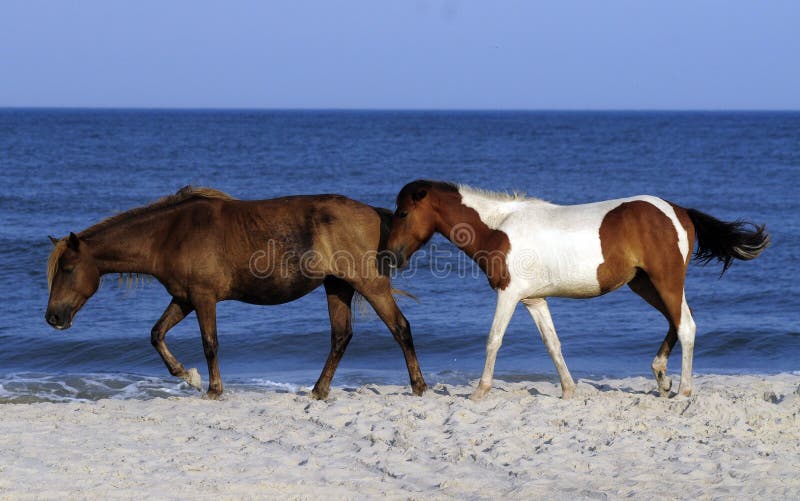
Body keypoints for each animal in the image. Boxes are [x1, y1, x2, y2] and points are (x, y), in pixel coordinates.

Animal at [45, 186, 428, 400]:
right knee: (341, 337)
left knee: (400, 328)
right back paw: (318, 391)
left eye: (67, 269)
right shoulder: (184, 298)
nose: (53, 317)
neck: (170, 234)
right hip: (337, 286)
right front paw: (187, 375)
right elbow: (156, 334)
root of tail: (374, 213)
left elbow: (210, 344)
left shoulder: (203, 298)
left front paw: (212, 389)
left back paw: (418, 386)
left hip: (368, 284)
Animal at [386, 180, 769, 401]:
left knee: (686, 326)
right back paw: (662, 379)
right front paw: (569, 391)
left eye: (403, 213)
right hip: (645, 284)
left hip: (666, 280)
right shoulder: (533, 300)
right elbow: (552, 343)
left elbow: (493, 340)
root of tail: (679, 211)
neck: (498, 228)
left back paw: (685, 389)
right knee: (677, 322)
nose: (391, 256)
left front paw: (480, 392)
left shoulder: (508, 294)